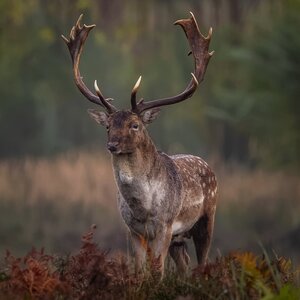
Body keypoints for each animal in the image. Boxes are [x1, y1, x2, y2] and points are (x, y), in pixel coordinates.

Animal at [62, 13, 218, 276]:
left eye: (135, 125)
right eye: (108, 126)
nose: (112, 144)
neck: (143, 208)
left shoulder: (165, 225)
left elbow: (157, 270)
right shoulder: (133, 229)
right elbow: (139, 269)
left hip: (207, 218)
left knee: (203, 263)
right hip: (179, 239)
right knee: (184, 265)